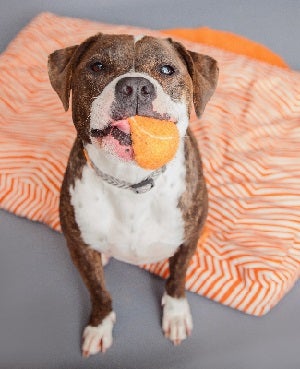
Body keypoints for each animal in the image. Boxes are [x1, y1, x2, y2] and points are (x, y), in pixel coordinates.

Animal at [48, 33, 219, 356]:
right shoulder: (78, 245)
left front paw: (176, 315)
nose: (136, 86)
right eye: (98, 66)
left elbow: (178, 278)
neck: (131, 181)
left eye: (166, 70)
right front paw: (100, 325)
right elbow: (98, 290)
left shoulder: (188, 238)